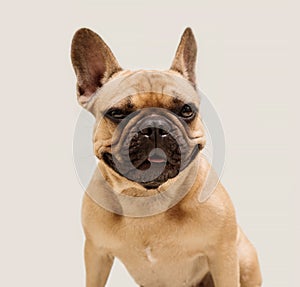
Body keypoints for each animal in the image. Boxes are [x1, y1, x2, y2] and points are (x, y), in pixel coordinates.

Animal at [71, 27, 262, 287]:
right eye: (117, 113)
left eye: (187, 110)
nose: (154, 127)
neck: (148, 198)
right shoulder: (96, 254)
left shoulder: (223, 255)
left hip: (245, 259)